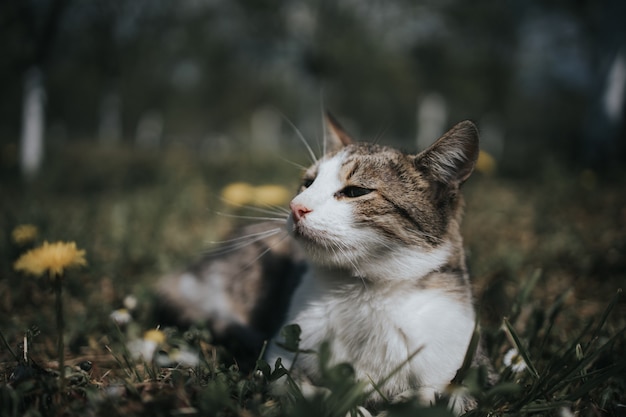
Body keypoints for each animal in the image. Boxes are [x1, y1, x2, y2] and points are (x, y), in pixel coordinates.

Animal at [155, 114, 482, 412]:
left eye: (356, 191)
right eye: (307, 183)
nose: (295, 207)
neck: (362, 292)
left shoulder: (464, 362)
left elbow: (450, 395)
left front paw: (415, 400)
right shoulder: (277, 360)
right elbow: (294, 386)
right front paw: (344, 405)